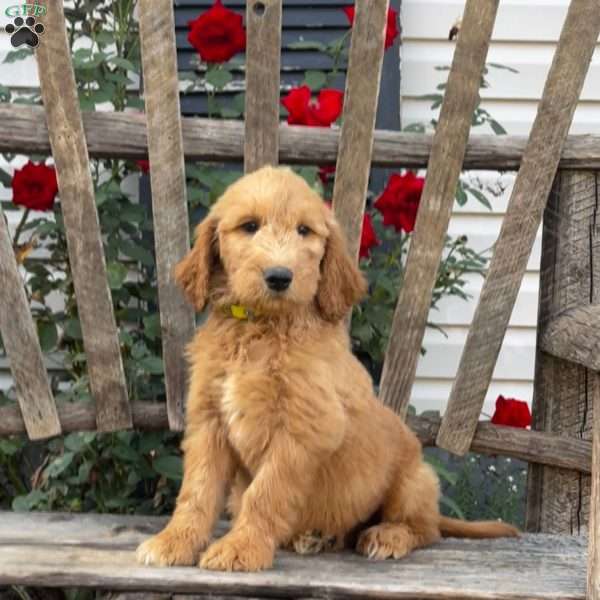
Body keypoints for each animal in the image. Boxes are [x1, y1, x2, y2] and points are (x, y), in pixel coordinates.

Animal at [135, 165, 516, 572]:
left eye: (304, 230)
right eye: (249, 226)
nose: (280, 276)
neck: (263, 327)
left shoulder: (303, 429)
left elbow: (266, 492)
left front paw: (241, 547)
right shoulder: (209, 423)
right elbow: (197, 491)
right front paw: (174, 541)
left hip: (412, 481)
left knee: (425, 528)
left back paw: (387, 535)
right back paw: (316, 536)